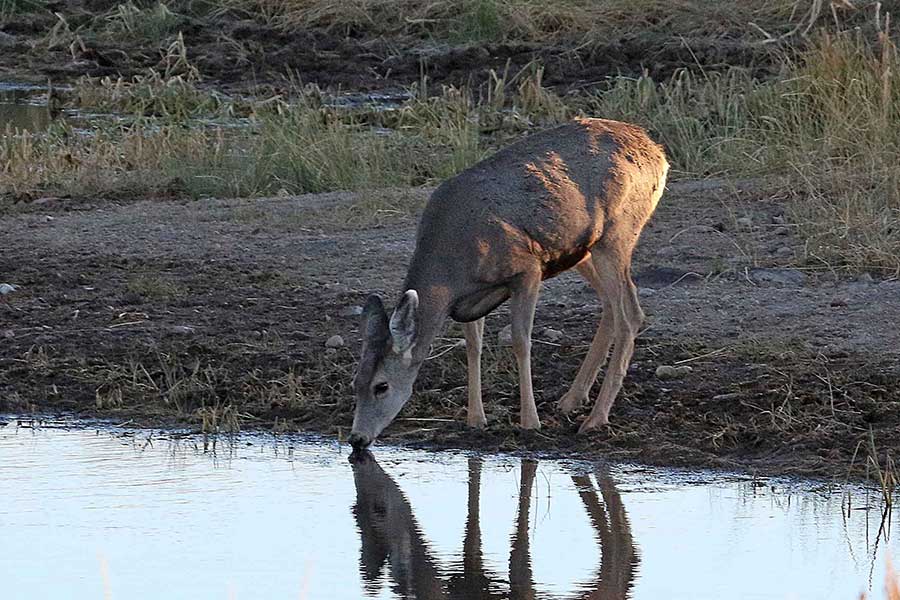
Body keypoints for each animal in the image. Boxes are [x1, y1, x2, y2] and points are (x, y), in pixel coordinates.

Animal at [348, 117, 664, 450]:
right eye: (355, 382)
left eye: (381, 386)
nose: (357, 438)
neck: (452, 265)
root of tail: (656, 152)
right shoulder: (468, 299)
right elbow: (473, 346)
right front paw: (476, 419)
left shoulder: (527, 269)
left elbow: (521, 341)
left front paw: (530, 421)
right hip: (583, 249)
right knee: (611, 306)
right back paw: (572, 400)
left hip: (617, 234)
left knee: (630, 314)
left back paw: (595, 418)